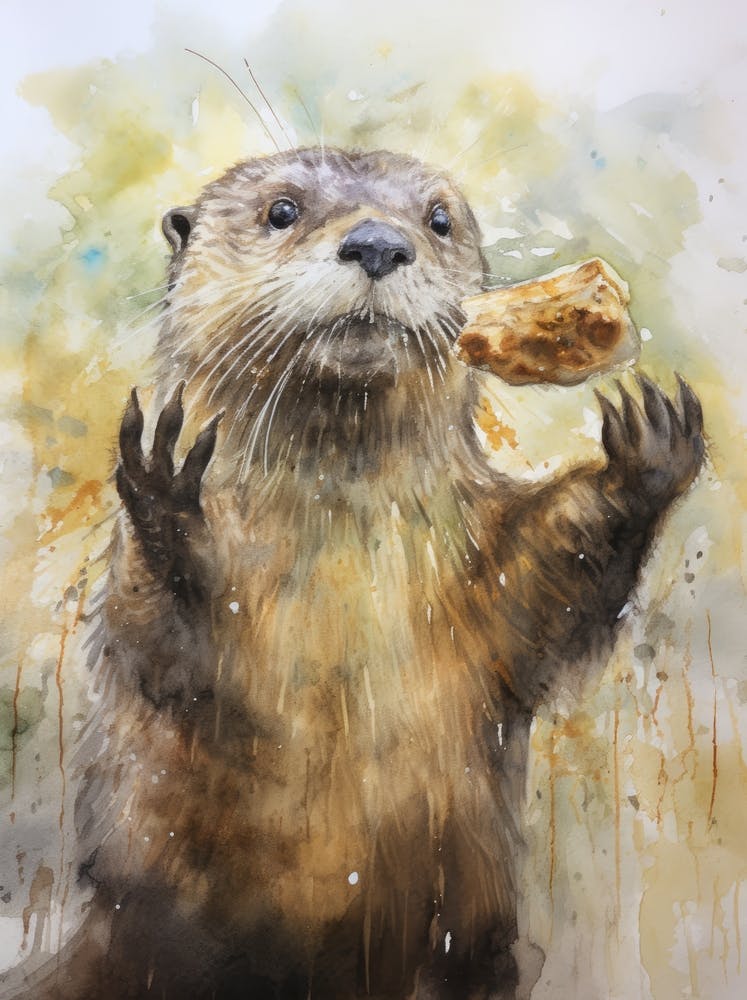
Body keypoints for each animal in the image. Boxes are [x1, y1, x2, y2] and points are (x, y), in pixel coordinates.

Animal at [29, 148, 704, 999]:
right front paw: (165, 485)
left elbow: (544, 592)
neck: (341, 547)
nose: (379, 243)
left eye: (438, 220)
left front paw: (648, 446)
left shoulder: (478, 552)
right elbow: (160, 647)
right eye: (281, 211)